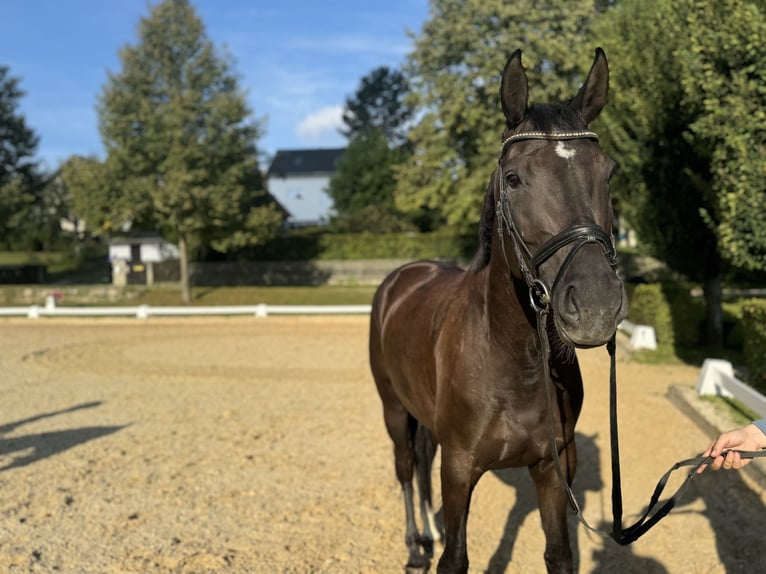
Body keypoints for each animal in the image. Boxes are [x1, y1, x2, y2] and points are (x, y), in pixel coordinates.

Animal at [372, 50, 632, 574]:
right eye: (513, 179)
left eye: (608, 173)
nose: (596, 304)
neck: (511, 360)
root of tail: (403, 276)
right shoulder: (459, 469)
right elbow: (454, 558)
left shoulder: (553, 469)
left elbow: (559, 553)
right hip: (392, 407)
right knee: (406, 469)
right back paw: (414, 545)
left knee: (420, 462)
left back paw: (426, 533)